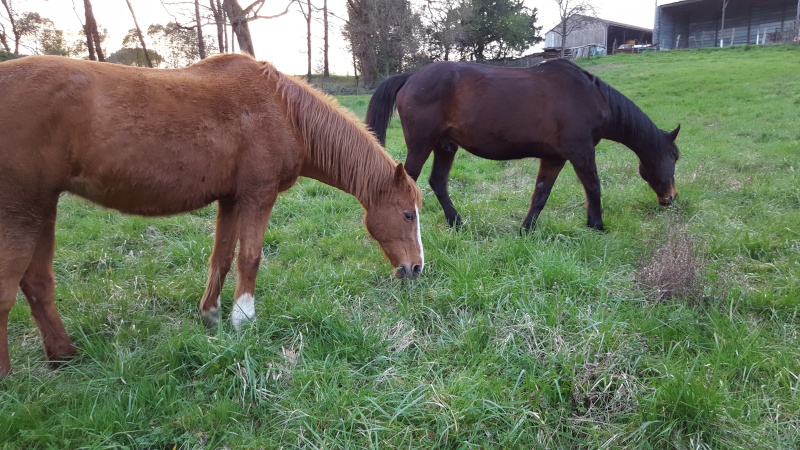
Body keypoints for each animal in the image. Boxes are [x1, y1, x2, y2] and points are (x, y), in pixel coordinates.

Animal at [0, 53, 424, 376]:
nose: (417, 268)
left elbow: (220, 258)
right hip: (21, 211)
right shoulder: (257, 196)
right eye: (407, 215)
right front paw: (243, 319)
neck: (284, 112)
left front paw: (211, 316)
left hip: (43, 208)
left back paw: (63, 355)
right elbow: (249, 257)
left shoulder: (231, 199)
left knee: (37, 284)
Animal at [366, 59, 680, 232]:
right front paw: (597, 226)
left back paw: (457, 223)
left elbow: (540, 194)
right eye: (675, 157)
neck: (590, 97)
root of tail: (410, 78)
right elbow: (594, 187)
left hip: (445, 146)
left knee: (438, 182)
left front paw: (526, 230)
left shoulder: (554, 158)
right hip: (422, 144)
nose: (671, 198)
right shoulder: (581, 152)